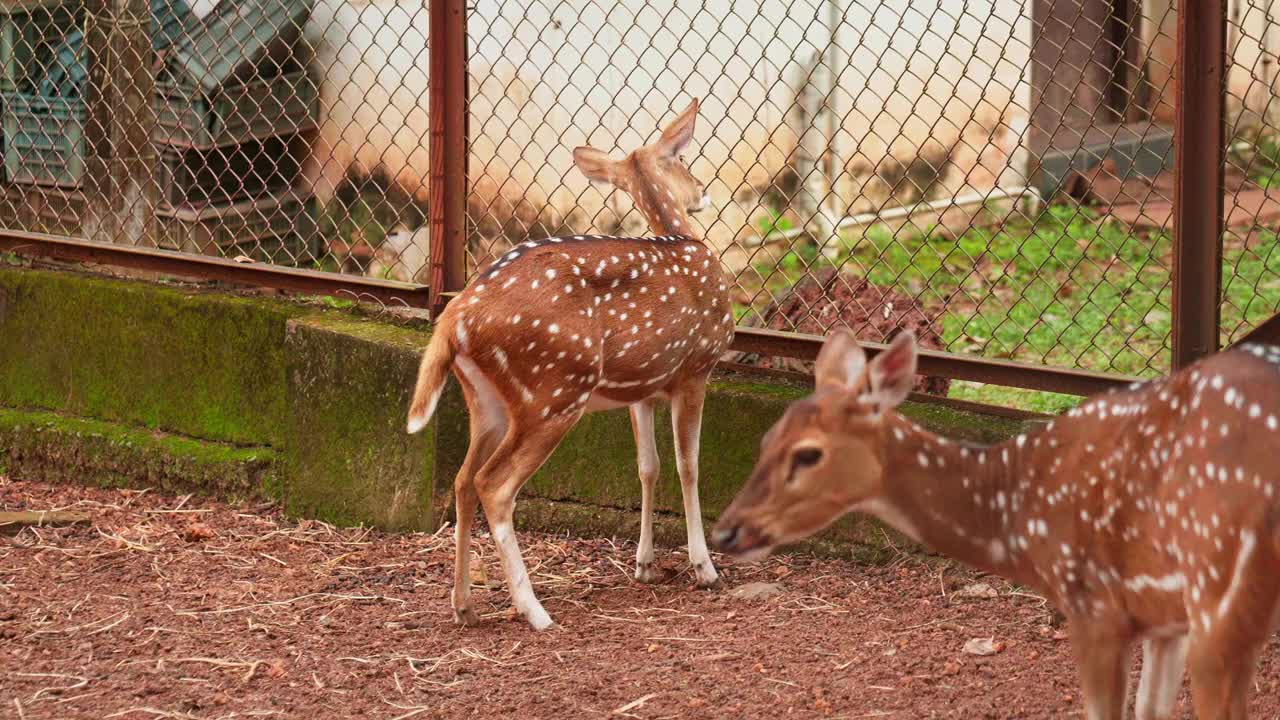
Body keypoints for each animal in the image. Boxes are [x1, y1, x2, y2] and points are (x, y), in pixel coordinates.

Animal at [404, 99, 737, 627]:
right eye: (683, 157)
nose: (703, 191)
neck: (683, 239)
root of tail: (453, 317)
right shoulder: (695, 368)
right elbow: (689, 465)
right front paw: (704, 568)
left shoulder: (640, 387)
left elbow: (647, 466)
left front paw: (645, 565)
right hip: (554, 391)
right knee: (493, 485)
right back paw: (534, 610)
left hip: (486, 400)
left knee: (461, 480)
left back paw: (464, 605)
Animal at [711, 326, 1280, 717]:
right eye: (765, 439)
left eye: (808, 454)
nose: (725, 531)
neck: (1016, 515)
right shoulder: (1163, 617)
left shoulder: (1094, 602)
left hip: (1219, 585)